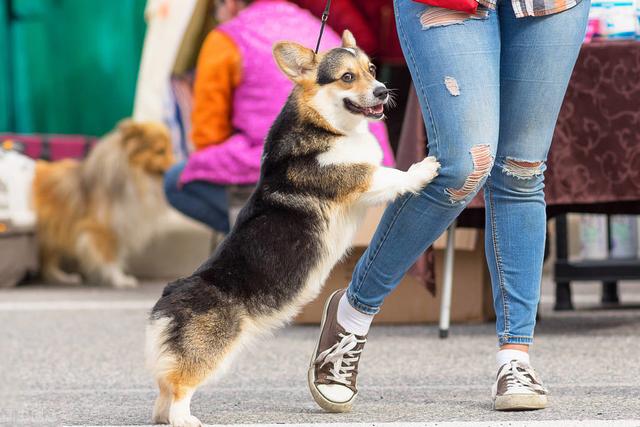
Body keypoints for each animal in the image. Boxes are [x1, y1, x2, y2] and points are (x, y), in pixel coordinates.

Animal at [33, 118, 174, 290]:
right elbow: (110, 257)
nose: (178, 166)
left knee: (48, 262)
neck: (135, 176)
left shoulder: (119, 226)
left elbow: (117, 255)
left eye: (171, 149)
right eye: (160, 151)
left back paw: (63, 278)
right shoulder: (102, 229)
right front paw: (120, 280)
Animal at [145, 30, 440, 427]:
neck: (327, 125)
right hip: (212, 348)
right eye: (347, 77)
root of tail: (168, 299)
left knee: (164, 393)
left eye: (372, 69)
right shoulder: (352, 179)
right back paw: (186, 419)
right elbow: (386, 173)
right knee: (179, 386)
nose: (382, 91)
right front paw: (423, 168)